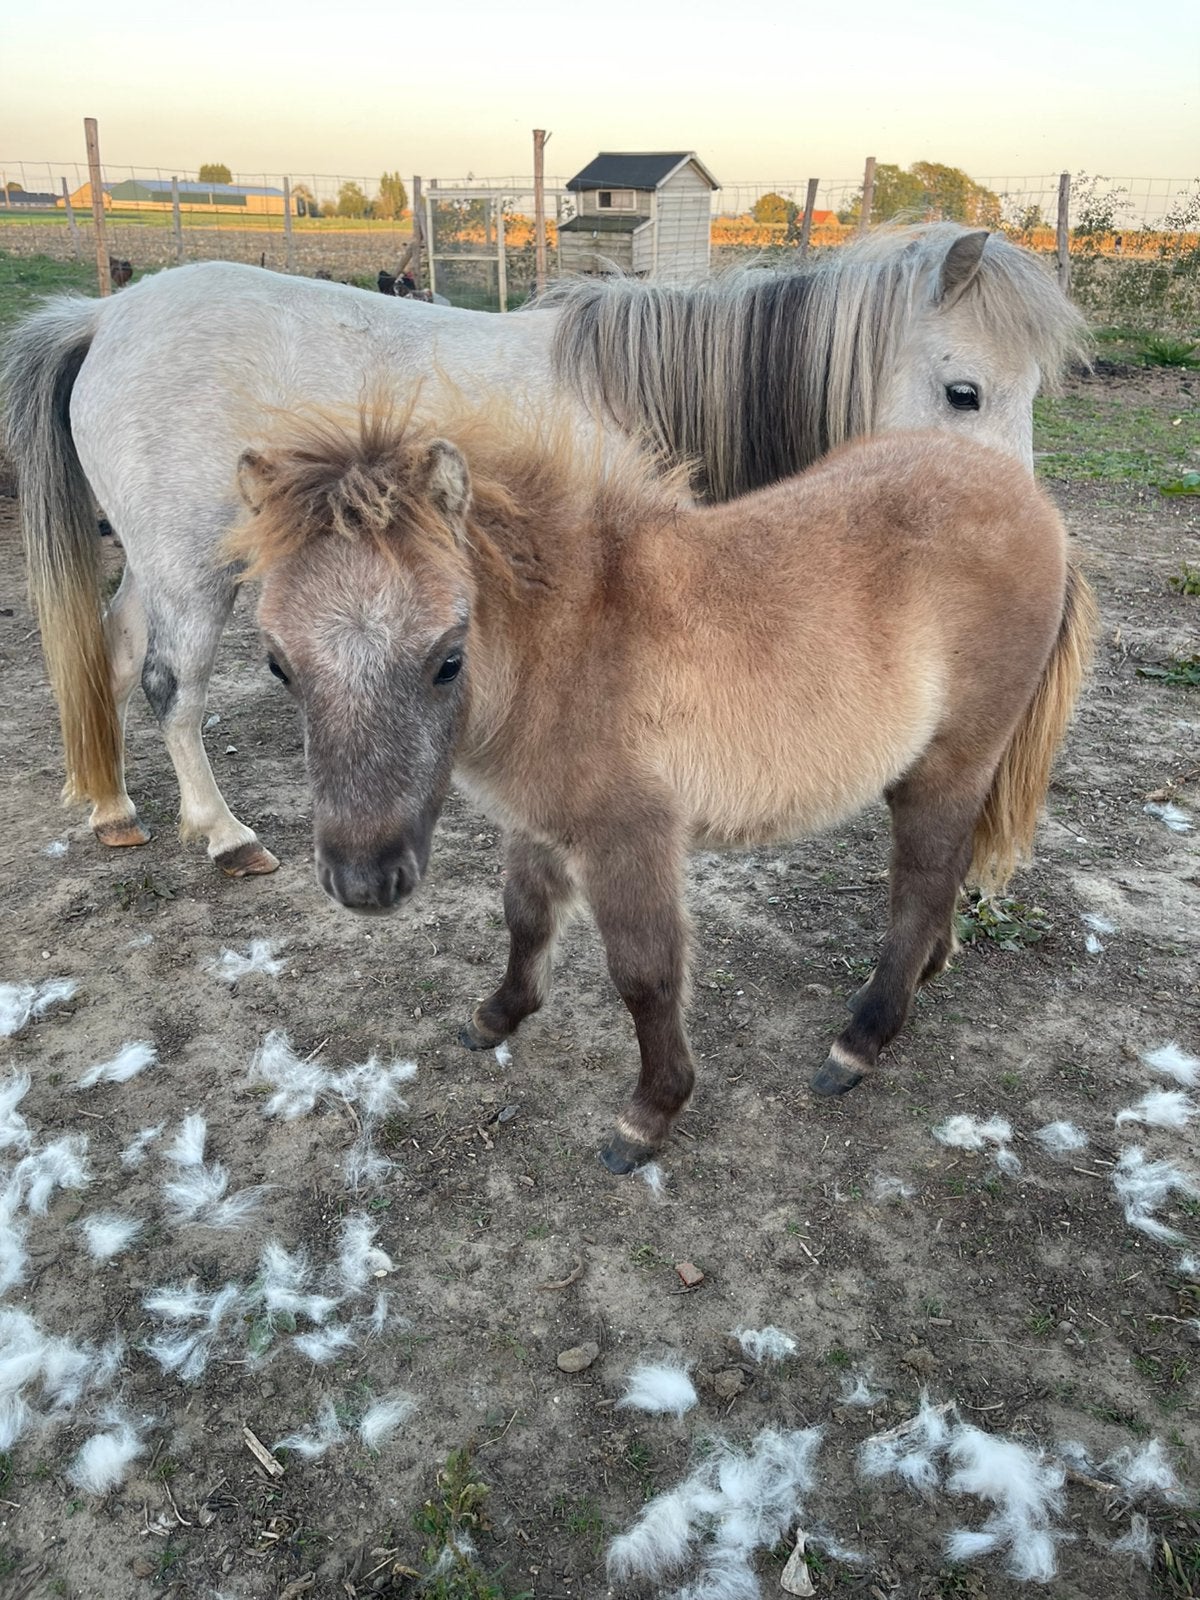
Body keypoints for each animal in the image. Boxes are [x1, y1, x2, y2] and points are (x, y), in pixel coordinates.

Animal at [2, 223, 1087, 876]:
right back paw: (223, 835)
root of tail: (106, 317)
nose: (1026, 538)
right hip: (195, 569)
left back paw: (112, 806)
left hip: (153, 565)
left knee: (111, 654)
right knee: (169, 687)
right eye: (965, 392)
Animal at [219, 402, 1095, 1172]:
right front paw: (499, 1015)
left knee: (921, 884)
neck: (564, 645)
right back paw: (929, 970)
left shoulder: (629, 836)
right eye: (278, 664)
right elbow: (525, 917)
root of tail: (1035, 503)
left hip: (953, 762)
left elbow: (645, 974)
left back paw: (861, 1040)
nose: (365, 884)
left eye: (447, 658)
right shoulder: (536, 822)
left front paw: (650, 1114)